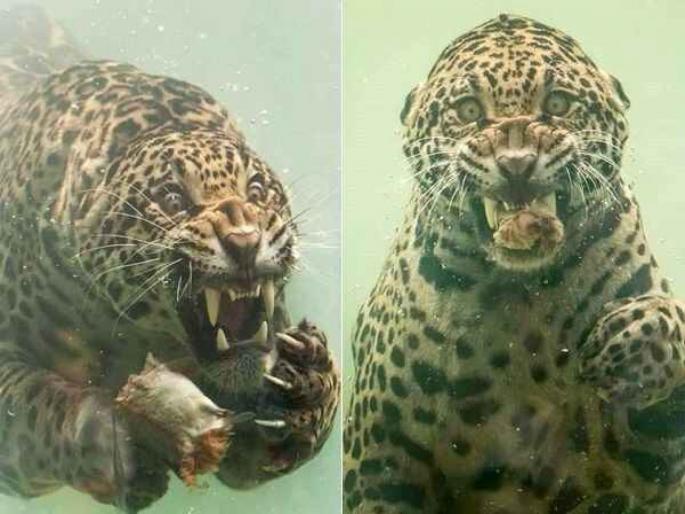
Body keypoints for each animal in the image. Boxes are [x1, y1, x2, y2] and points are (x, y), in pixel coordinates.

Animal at [0, 5, 338, 512]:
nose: (244, 240)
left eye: (256, 190)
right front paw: (112, 443)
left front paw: (308, 387)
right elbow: (38, 408)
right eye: (173, 199)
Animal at [344, 13, 685, 514]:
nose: (517, 163)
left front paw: (633, 340)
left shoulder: (639, 471)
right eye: (468, 110)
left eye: (558, 104)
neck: (521, 298)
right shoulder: (379, 464)